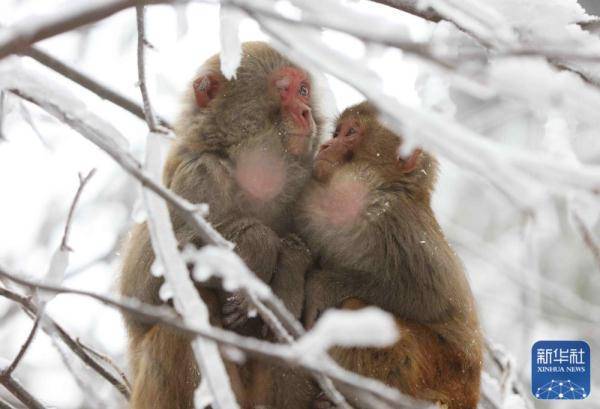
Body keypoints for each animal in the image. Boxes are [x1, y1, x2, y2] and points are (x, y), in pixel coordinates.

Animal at [121, 42, 326, 408]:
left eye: (304, 90)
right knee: (182, 313)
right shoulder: (195, 178)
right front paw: (261, 246)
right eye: (284, 88)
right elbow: (139, 292)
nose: (306, 112)